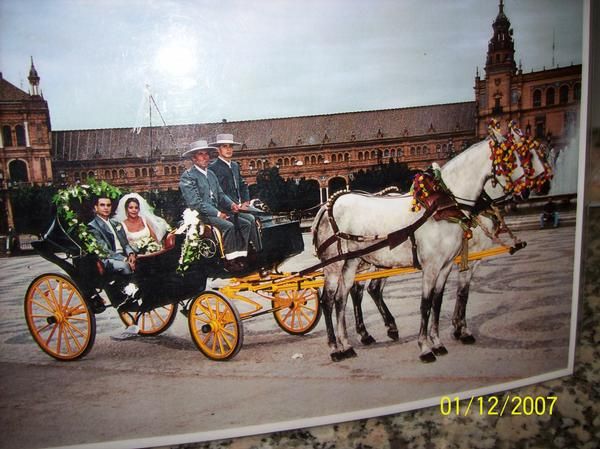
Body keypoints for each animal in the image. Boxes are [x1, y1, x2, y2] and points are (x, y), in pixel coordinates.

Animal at [312, 129, 540, 360]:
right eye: (516, 157)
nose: (534, 188)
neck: (444, 205)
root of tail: (329, 204)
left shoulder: (447, 265)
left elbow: (439, 302)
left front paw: (438, 341)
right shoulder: (432, 266)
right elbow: (426, 304)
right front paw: (425, 347)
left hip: (352, 262)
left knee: (342, 299)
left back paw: (347, 344)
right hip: (334, 265)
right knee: (328, 301)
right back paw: (335, 347)